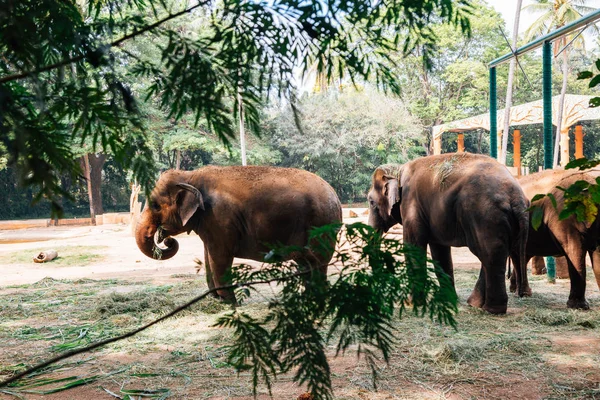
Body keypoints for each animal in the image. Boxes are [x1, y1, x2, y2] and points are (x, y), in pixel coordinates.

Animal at [135, 165, 342, 300]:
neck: (190, 175)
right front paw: (216, 299)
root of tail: (336, 196)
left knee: (316, 262)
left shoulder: (219, 216)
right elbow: (208, 254)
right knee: (305, 263)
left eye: (155, 205)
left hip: (321, 226)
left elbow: (219, 256)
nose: (167, 240)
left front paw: (230, 303)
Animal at [366, 153, 528, 316]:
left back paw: (492, 310)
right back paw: (475, 304)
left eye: (371, 202)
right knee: (492, 255)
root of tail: (517, 197)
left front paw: (410, 303)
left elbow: (414, 246)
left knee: (490, 255)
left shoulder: (411, 205)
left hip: (486, 216)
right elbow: (440, 251)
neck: (398, 170)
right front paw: (448, 299)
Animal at [508, 169, 600, 310]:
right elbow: (574, 251)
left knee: (523, 255)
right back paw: (521, 293)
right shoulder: (564, 218)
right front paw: (579, 307)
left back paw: (519, 291)